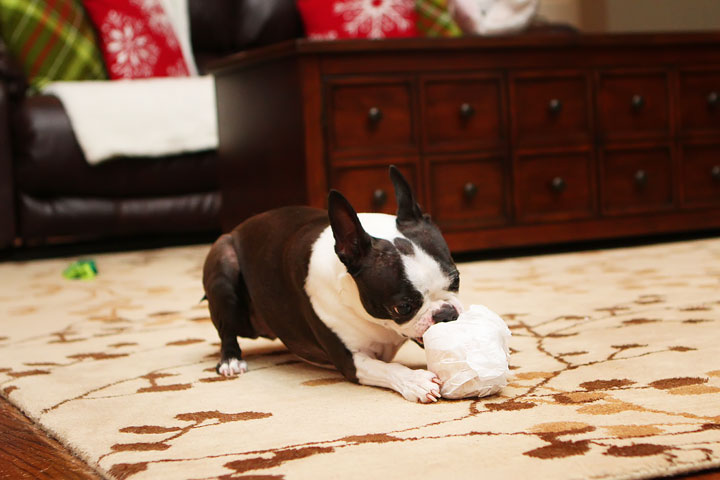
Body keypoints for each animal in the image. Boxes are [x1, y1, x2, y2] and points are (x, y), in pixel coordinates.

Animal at [202, 167, 462, 404]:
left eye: (457, 279)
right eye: (403, 307)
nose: (447, 314)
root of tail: (235, 229)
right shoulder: (351, 361)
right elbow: (388, 368)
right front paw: (415, 381)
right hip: (224, 262)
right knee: (226, 330)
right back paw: (231, 360)